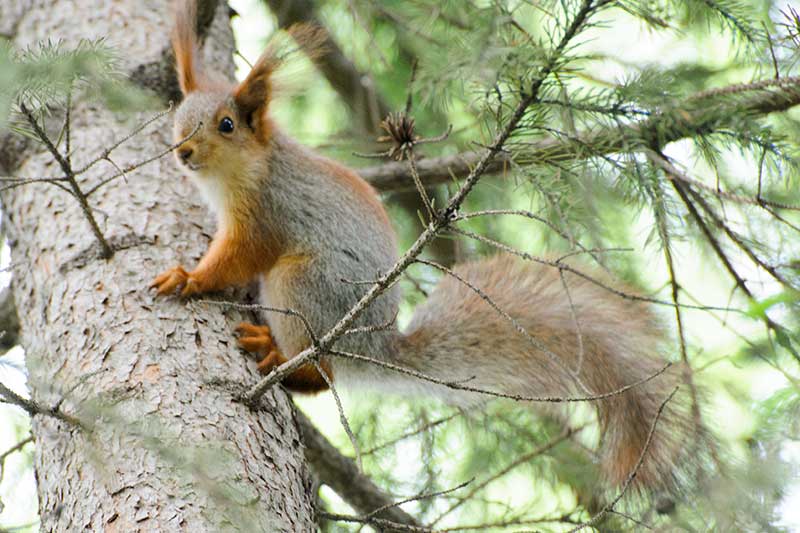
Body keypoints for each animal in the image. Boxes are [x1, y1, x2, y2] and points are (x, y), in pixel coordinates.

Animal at [152, 0, 692, 492]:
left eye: (226, 124)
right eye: (178, 116)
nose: (183, 152)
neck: (243, 171)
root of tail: (371, 345)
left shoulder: (265, 213)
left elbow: (237, 256)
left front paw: (189, 277)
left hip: (302, 282)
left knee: (324, 374)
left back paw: (281, 357)